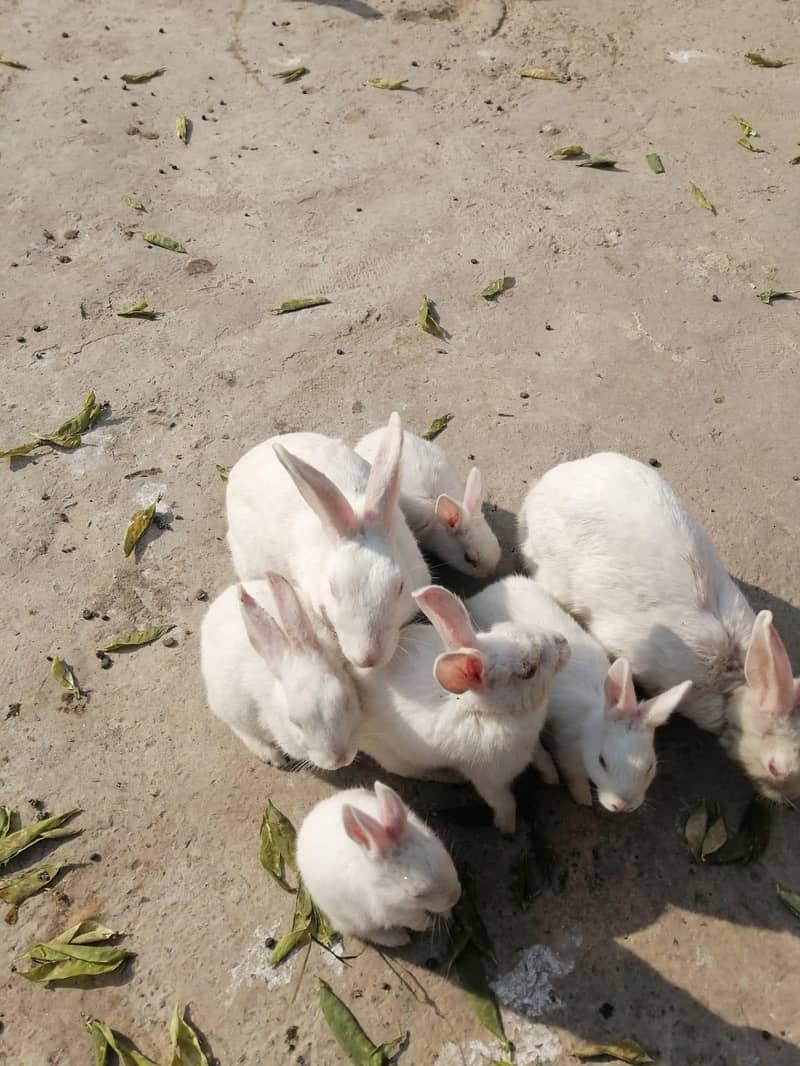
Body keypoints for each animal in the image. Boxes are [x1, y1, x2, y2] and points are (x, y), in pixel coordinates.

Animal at [296, 780, 461, 947]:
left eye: (444, 854)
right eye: (417, 894)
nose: (455, 897)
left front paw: (447, 914)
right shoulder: (392, 911)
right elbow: (416, 921)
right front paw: (429, 925)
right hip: (351, 919)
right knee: (364, 932)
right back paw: (398, 939)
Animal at [353, 585, 570, 834]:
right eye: (528, 670)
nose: (563, 642)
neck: (492, 713)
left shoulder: (534, 744)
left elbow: (543, 756)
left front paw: (553, 777)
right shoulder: (488, 780)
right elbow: (505, 803)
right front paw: (507, 828)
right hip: (396, 757)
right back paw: (451, 777)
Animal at [467, 576, 692, 811]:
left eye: (650, 766)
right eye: (602, 761)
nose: (623, 806)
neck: (588, 728)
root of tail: (489, 590)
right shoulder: (566, 753)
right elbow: (574, 778)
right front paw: (583, 798)